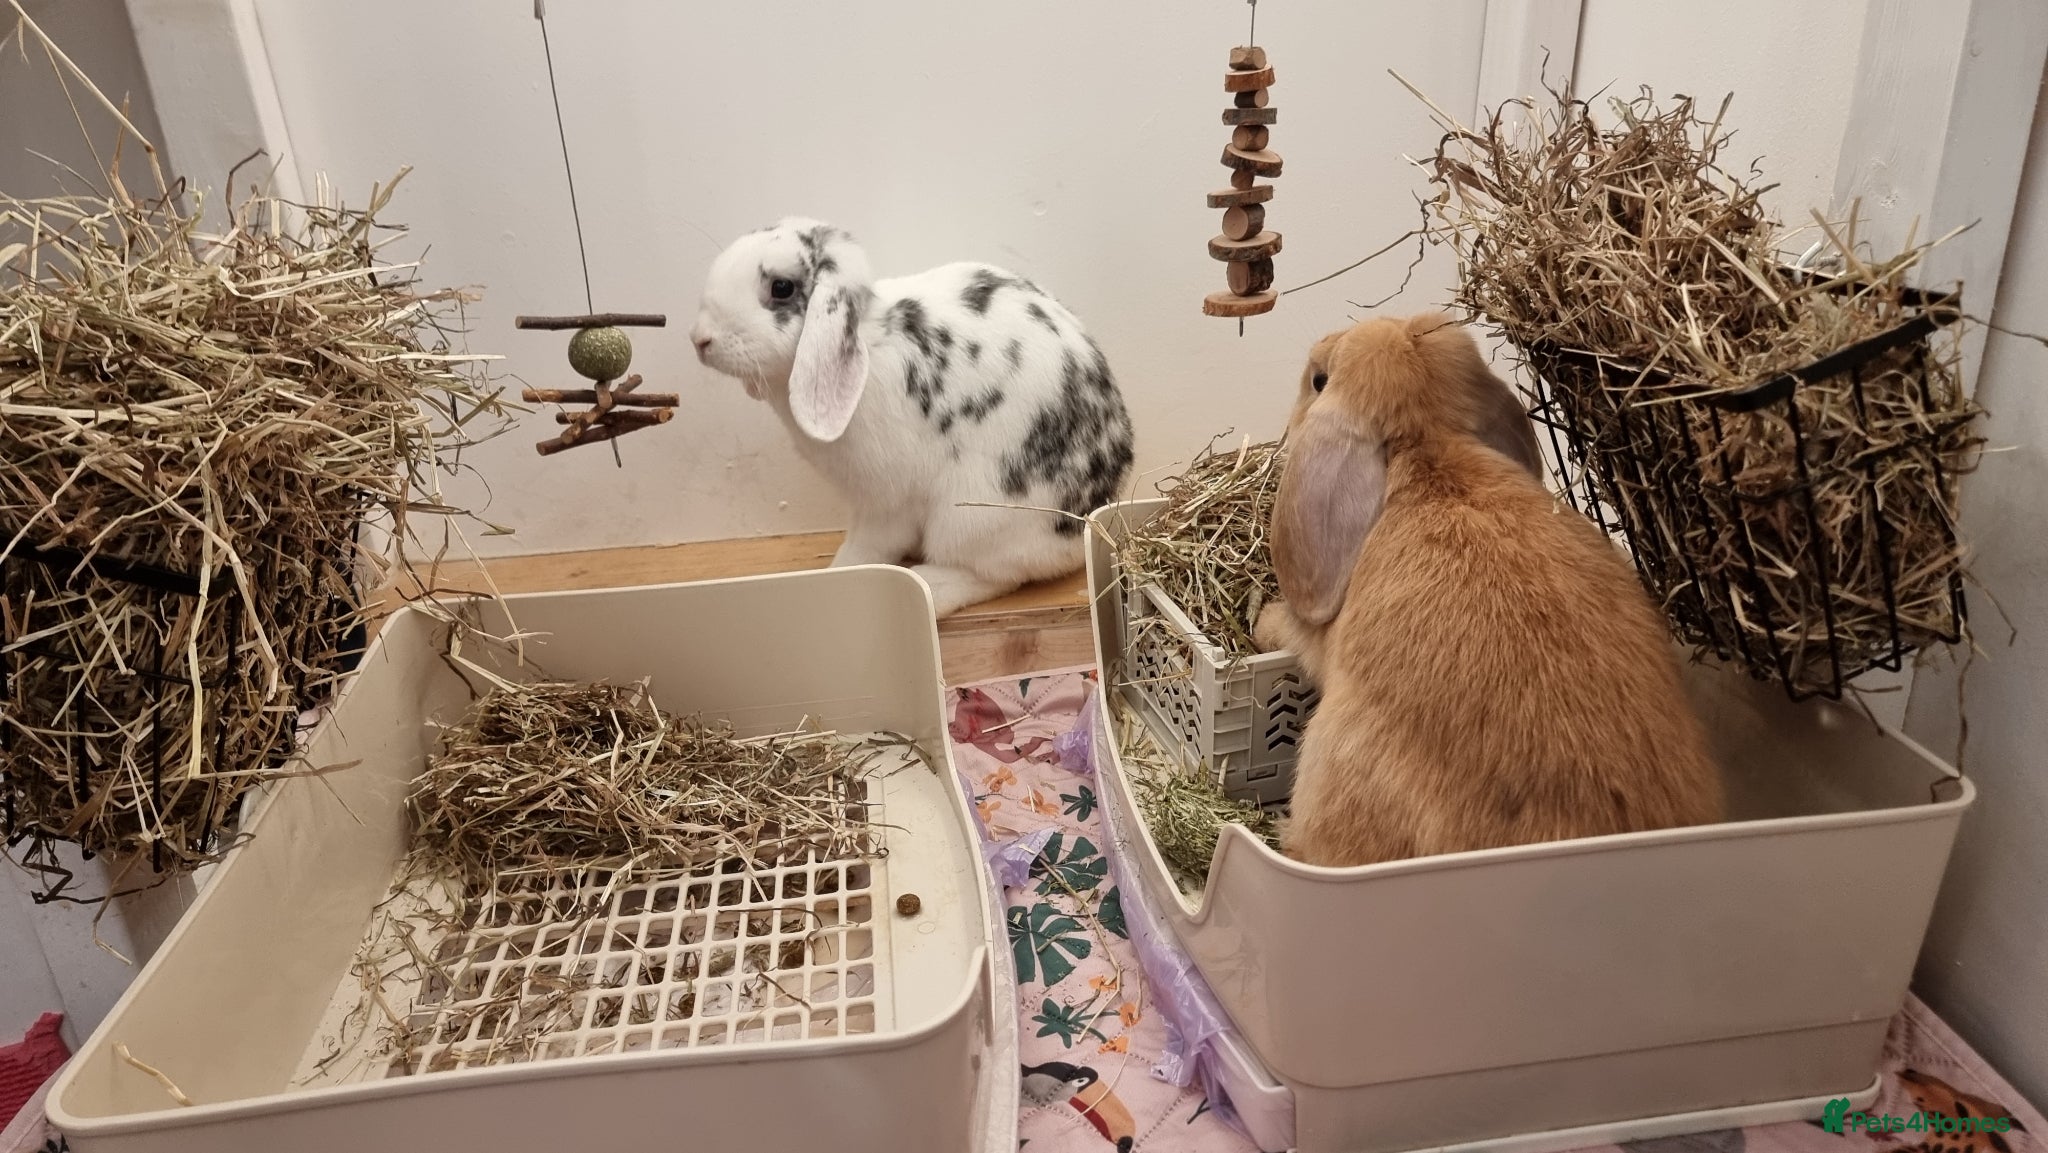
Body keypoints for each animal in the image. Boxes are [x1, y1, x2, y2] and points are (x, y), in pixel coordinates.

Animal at [689, 218, 1134, 616]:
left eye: (781, 287)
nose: (700, 340)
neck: (868, 339)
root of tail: (1086, 520)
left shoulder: (883, 504)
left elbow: (868, 547)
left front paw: (840, 572)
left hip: (972, 517)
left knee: (997, 575)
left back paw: (932, 587)